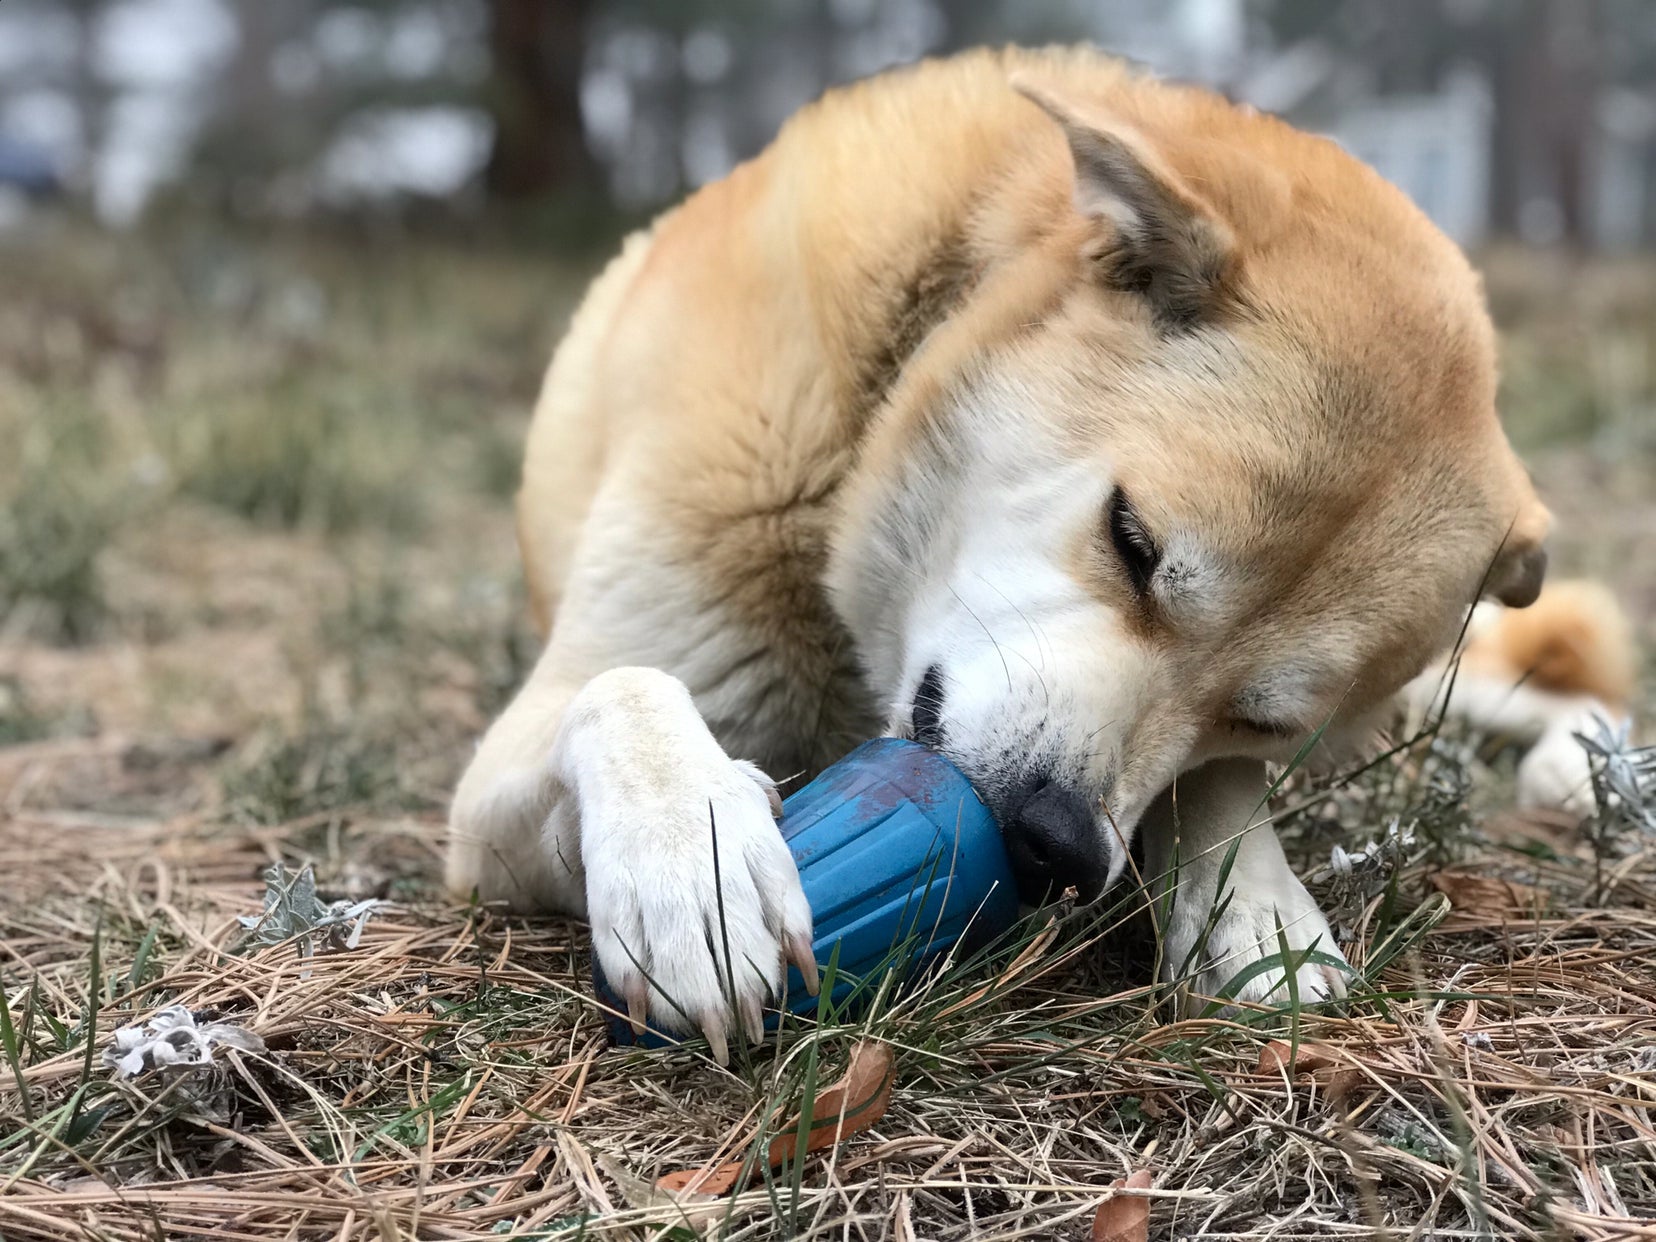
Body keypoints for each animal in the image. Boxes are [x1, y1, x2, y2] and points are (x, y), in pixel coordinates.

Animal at [443, 46, 1642, 1059]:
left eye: (1260, 718)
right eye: (1131, 541)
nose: (1056, 843)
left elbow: (1217, 790)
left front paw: (1257, 913)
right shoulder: (495, 802)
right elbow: (622, 687)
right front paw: (691, 849)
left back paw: (1594, 769)